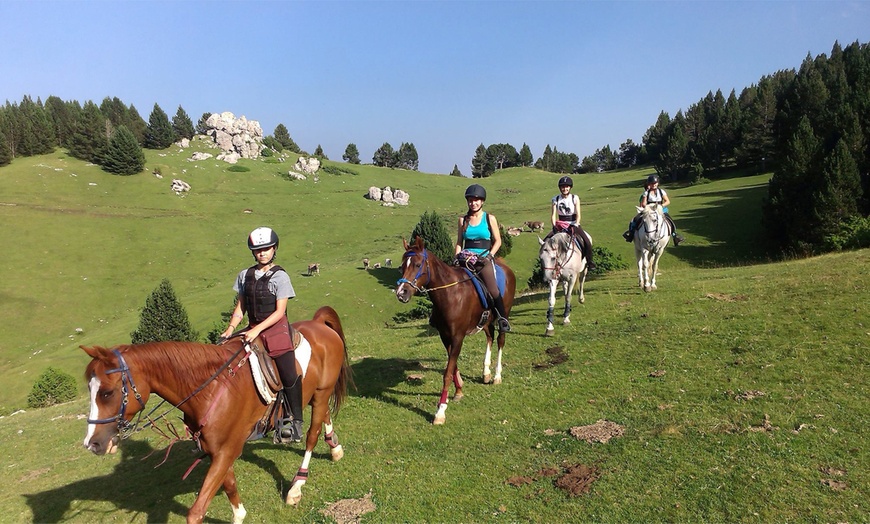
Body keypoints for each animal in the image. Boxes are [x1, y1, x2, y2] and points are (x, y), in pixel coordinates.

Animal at [82, 304, 354, 520]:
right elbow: (230, 485)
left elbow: (197, 512)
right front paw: (239, 514)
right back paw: (335, 448)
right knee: (323, 416)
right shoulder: (217, 449)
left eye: (106, 393)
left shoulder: (227, 450)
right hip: (315, 394)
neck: (210, 389)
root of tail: (318, 324)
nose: (92, 444)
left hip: (321, 392)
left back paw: (297, 486)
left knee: (311, 434)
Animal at [396, 237, 516, 426]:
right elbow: (453, 368)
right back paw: (486, 372)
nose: (402, 293)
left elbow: (447, 373)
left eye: (417, 264)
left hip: (504, 314)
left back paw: (497, 375)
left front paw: (440, 411)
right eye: (402, 266)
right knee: (489, 336)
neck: (450, 293)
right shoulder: (445, 337)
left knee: (500, 340)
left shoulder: (458, 337)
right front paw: (459, 391)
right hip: (486, 319)